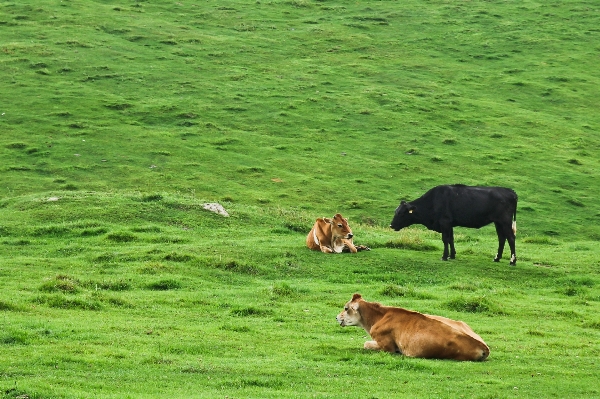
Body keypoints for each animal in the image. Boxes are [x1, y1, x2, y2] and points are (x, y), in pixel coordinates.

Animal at [336, 294, 490, 362]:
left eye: (346, 308)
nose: (337, 317)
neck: (378, 317)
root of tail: (483, 346)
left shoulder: (386, 346)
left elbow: (366, 344)